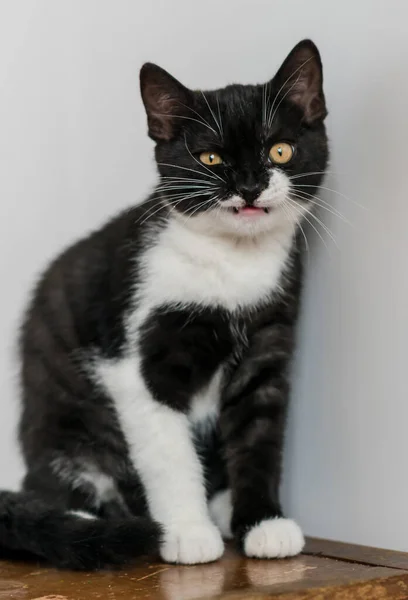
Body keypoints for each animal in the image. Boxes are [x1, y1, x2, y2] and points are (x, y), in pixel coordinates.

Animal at [0, 39, 328, 568]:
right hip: (61, 425)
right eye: (210, 157)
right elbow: (168, 452)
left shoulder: (267, 346)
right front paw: (188, 532)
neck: (230, 262)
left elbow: (259, 438)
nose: (250, 185)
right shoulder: (135, 360)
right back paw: (85, 521)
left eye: (280, 149)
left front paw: (263, 523)